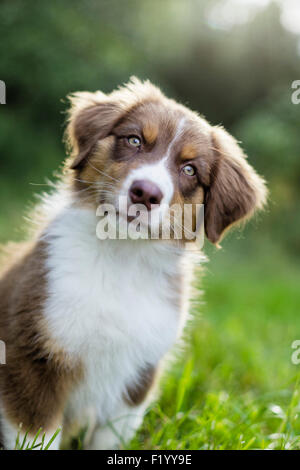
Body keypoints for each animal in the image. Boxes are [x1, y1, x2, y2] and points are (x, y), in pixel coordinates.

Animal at [0, 79, 268, 450]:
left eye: (189, 169)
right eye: (134, 140)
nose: (146, 193)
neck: (122, 256)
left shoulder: (136, 378)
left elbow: (107, 440)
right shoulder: (31, 358)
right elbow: (35, 436)